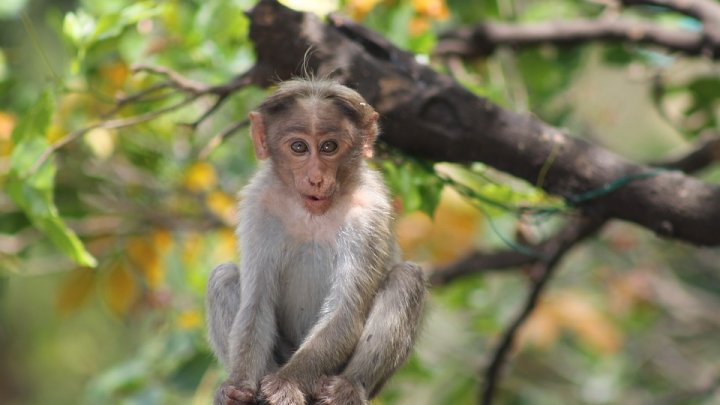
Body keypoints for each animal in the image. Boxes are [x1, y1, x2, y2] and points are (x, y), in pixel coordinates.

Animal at [204, 77, 428, 402]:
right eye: (299, 147)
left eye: (328, 147)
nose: (316, 178)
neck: (313, 212)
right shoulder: (259, 204)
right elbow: (256, 305)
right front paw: (238, 389)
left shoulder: (369, 211)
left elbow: (344, 314)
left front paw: (285, 384)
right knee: (223, 276)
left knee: (406, 278)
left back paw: (348, 387)